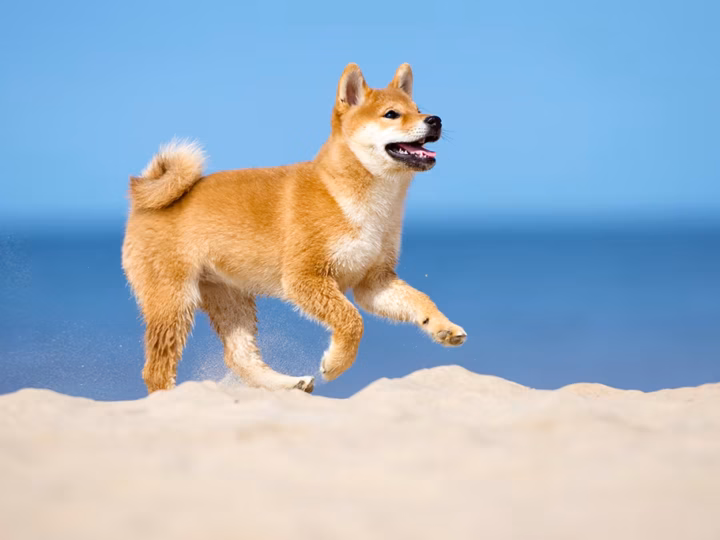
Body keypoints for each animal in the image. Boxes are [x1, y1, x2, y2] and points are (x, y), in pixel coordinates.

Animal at [122, 63, 467, 394]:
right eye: (392, 114)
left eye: (419, 108)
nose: (435, 119)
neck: (350, 198)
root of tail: (143, 203)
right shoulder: (306, 277)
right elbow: (352, 321)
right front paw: (335, 363)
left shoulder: (374, 282)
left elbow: (419, 299)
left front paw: (442, 326)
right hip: (173, 301)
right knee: (156, 370)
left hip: (230, 298)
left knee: (240, 357)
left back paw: (287, 384)